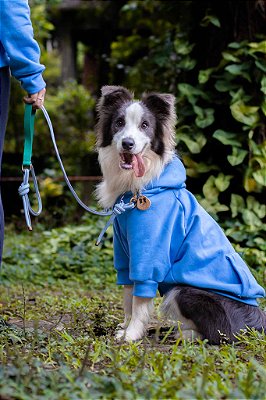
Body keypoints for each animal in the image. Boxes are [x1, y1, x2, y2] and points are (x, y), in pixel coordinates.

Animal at [95, 85, 266, 344]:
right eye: (119, 123)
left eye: (145, 125)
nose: (127, 143)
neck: (136, 187)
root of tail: (257, 323)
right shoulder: (125, 254)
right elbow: (127, 295)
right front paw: (125, 328)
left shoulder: (149, 253)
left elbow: (139, 299)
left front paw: (132, 334)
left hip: (184, 291)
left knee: (218, 334)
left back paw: (181, 334)